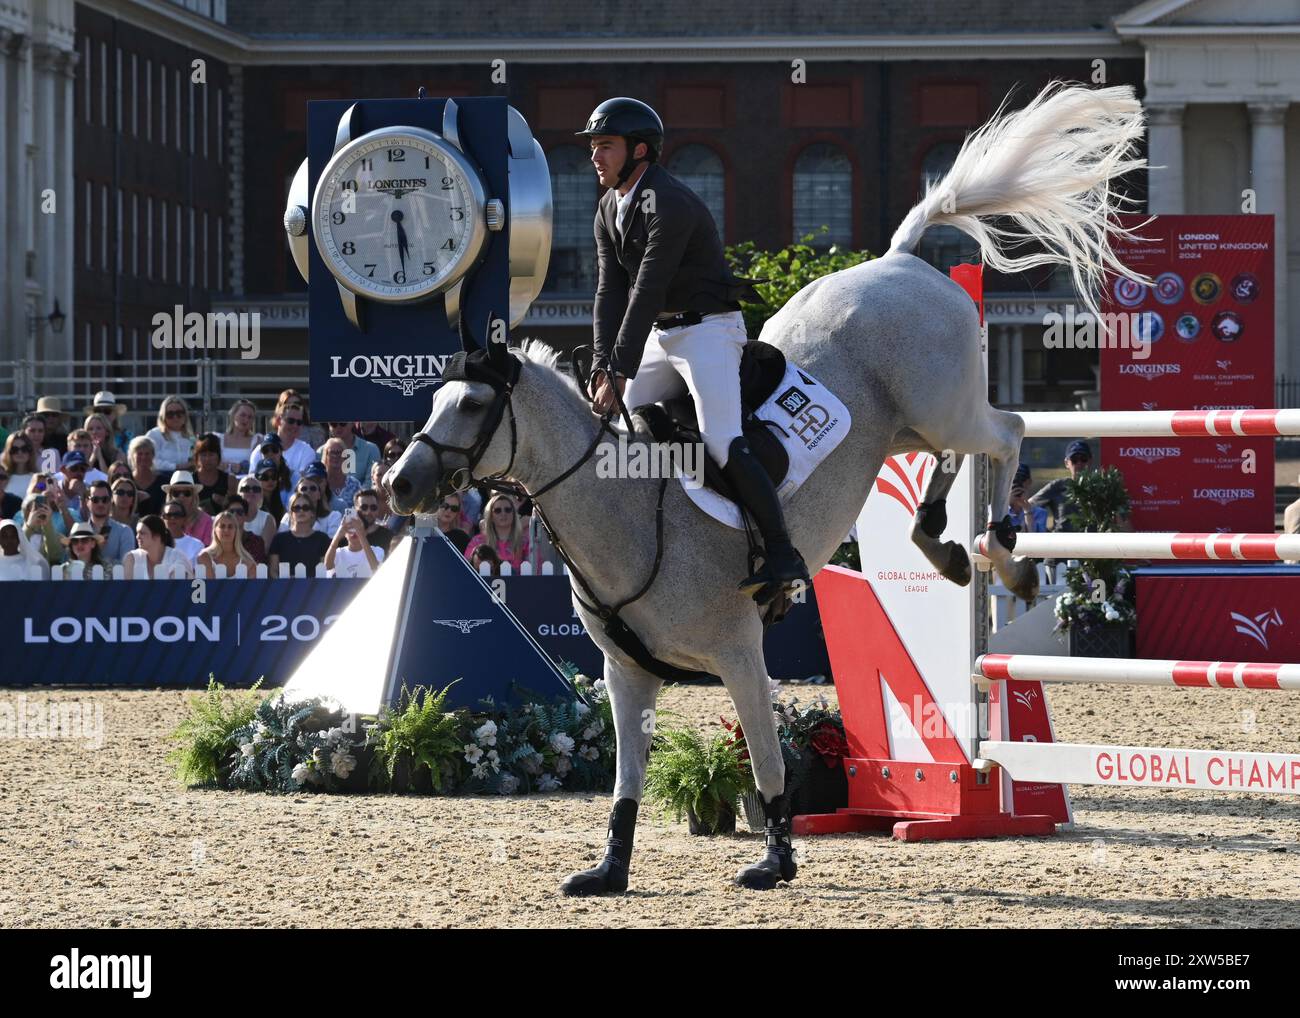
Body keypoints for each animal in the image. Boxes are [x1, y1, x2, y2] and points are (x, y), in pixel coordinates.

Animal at [384, 81, 1149, 894]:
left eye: (471, 404)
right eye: (434, 398)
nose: (399, 484)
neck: (625, 513)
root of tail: (900, 262)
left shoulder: (741, 656)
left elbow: (767, 759)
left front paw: (777, 858)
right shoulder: (626, 674)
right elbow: (627, 778)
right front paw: (609, 869)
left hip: (946, 406)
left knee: (1005, 430)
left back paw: (1005, 555)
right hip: (907, 427)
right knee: (951, 458)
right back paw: (937, 543)